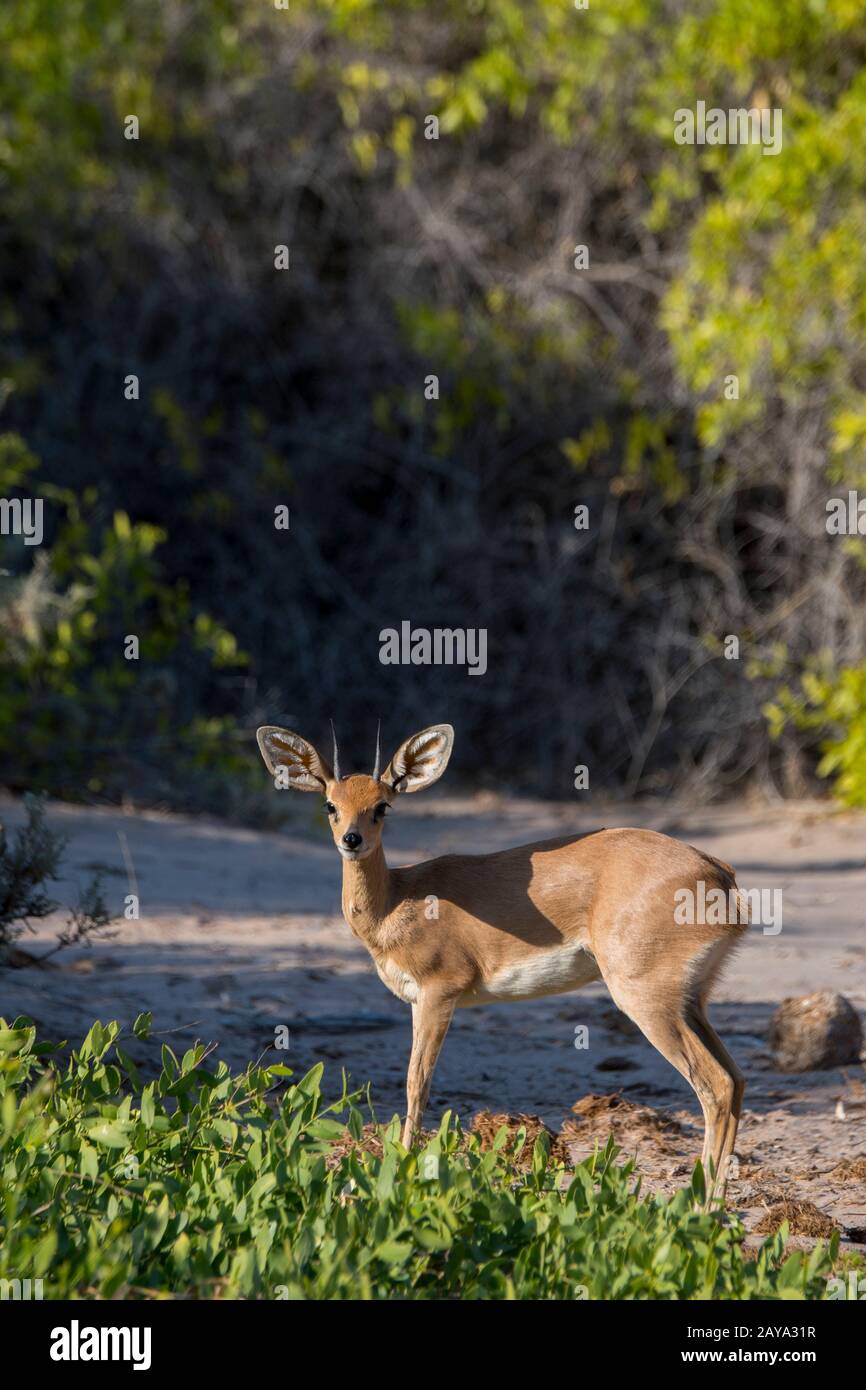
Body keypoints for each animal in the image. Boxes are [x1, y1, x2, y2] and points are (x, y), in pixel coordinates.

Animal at [255, 728, 745, 1195]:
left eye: (382, 806)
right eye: (330, 805)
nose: (351, 841)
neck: (398, 899)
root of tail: (719, 875)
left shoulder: (439, 993)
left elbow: (417, 1083)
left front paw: (406, 1163)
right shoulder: (417, 1001)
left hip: (647, 1000)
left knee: (715, 1086)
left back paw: (700, 1208)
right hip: (691, 1002)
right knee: (736, 1080)